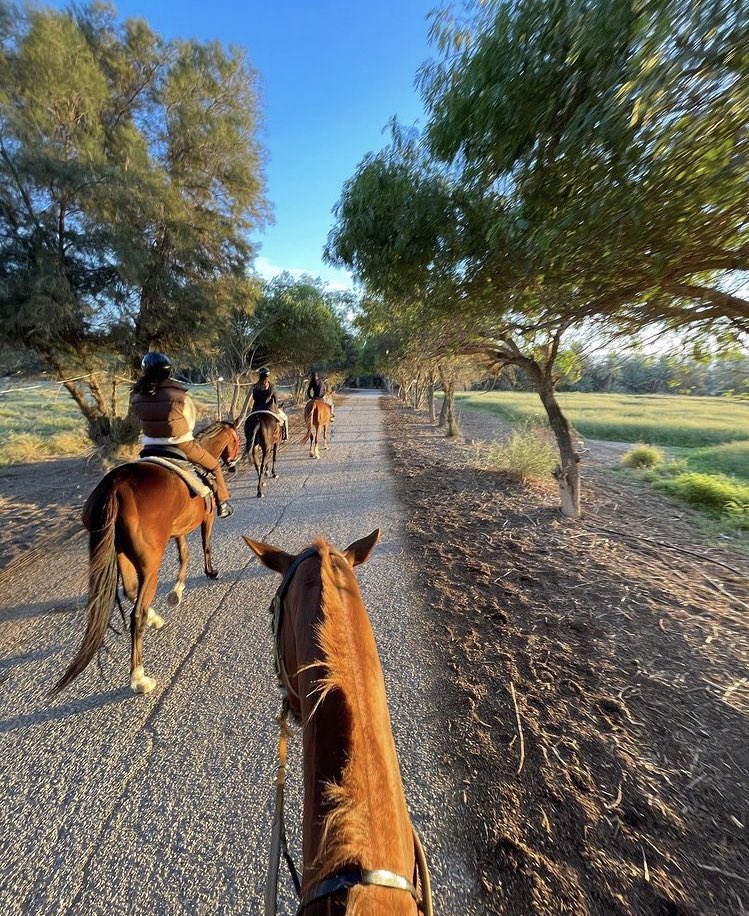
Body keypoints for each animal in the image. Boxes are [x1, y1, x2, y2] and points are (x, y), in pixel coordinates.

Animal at [53, 421, 240, 696]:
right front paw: (211, 572)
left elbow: (184, 555)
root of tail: (114, 487)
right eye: (236, 439)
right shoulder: (207, 519)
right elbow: (205, 546)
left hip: (121, 554)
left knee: (131, 591)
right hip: (150, 564)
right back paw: (139, 678)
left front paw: (176, 592)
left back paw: (155, 619)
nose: (234, 462)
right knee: (136, 615)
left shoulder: (177, 530)